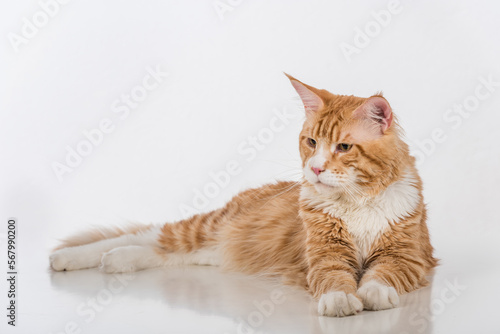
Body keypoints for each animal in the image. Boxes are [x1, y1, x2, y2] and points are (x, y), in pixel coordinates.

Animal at [48, 74, 436, 318]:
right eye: (311, 142)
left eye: (343, 147)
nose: (314, 169)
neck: (356, 202)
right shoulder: (322, 254)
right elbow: (334, 277)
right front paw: (341, 299)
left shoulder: (408, 256)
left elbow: (383, 273)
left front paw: (372, 292)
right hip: (205, 227)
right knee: (152, 235)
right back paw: (69, 258)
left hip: (213, 250)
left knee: (165, 252)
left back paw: (115, 260)